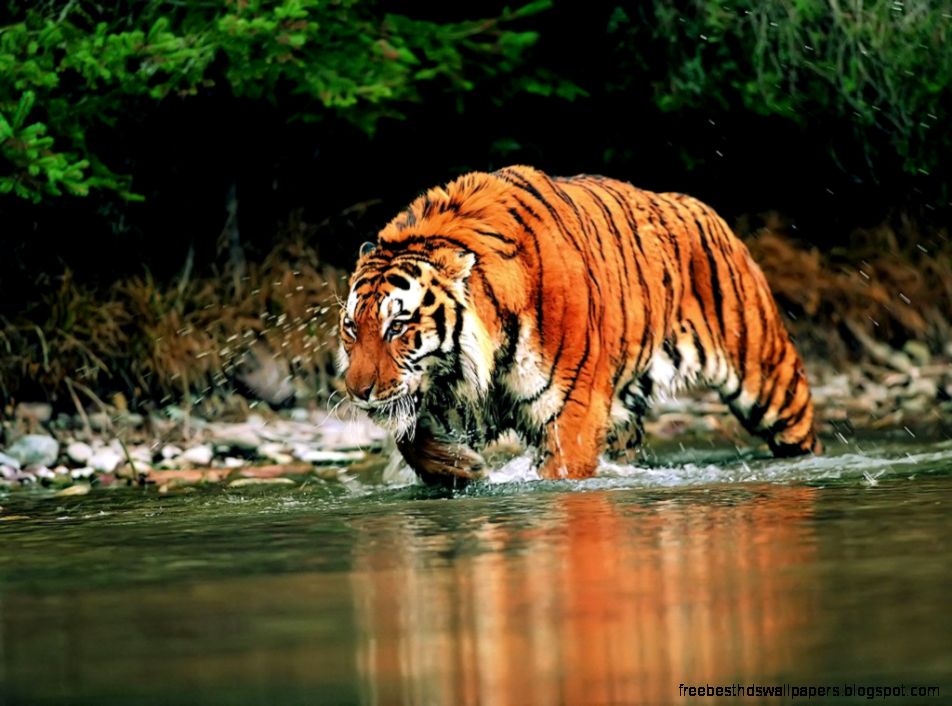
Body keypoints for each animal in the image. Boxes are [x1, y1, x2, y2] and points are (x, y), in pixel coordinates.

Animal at [338, 165, 820, 486]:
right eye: (352, 329)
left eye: (397, 326)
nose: (357, 392)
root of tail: (703, 208)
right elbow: (410, 439)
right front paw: (461, 467)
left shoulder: (571, 414)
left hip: (770, 381)